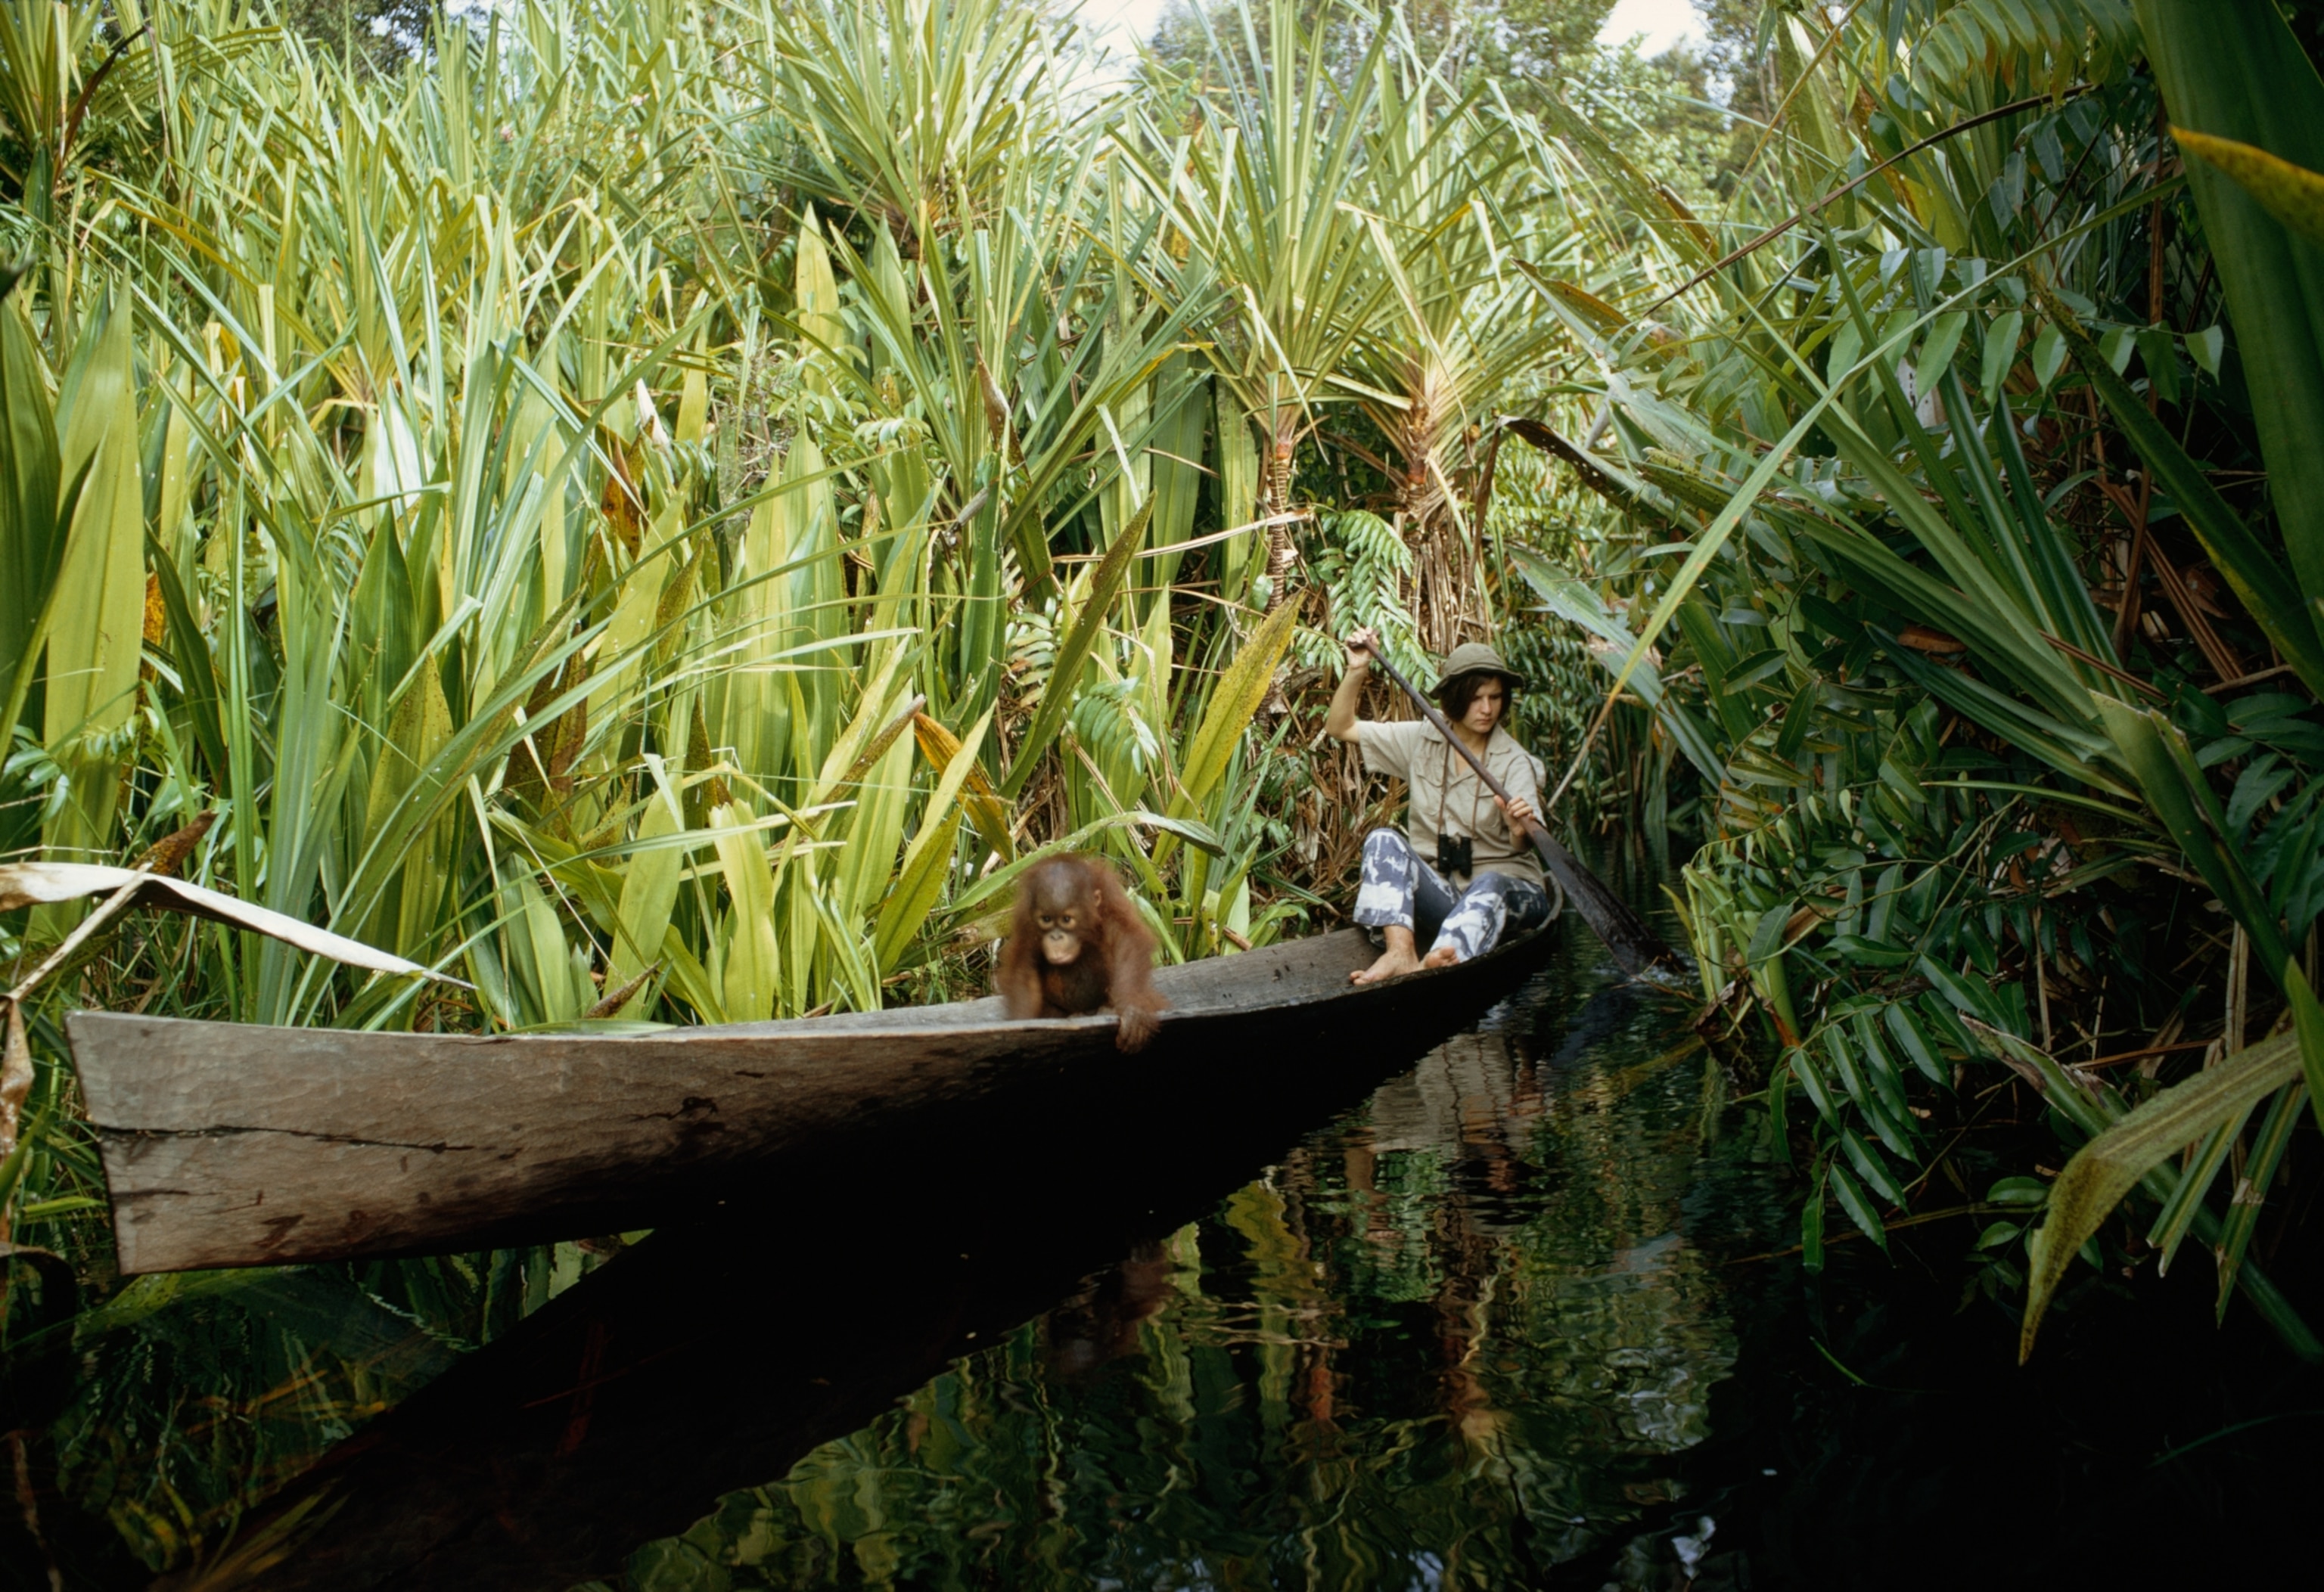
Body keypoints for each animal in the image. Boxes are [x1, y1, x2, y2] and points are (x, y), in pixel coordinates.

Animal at [997, 855, 1167, 1052]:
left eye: (1066, 919)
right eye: (1046, 919)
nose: (1056, 937)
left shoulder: (1110, 904)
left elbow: (1127, 940)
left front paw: (1134, 1013)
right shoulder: (1026, 921)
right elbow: (1023, 966)